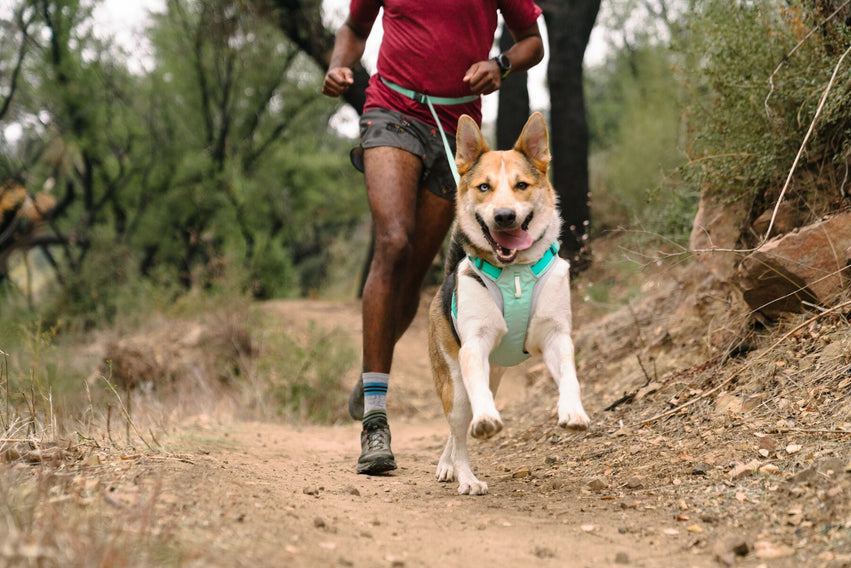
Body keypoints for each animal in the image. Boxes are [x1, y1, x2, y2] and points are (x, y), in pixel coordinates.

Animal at [430, 110, 588, 492]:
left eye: (522, 185)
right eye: (484, 187)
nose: (504, 216)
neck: (515, 271)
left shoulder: (557, 336)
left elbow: (570, 374)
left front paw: (572, 410)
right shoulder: (473, 345)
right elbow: (477, 406)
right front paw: (486, 420)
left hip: (495, 375)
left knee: (457, 430)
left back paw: (449, 465)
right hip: (454, 383)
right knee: (460, 427)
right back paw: (464, 475)